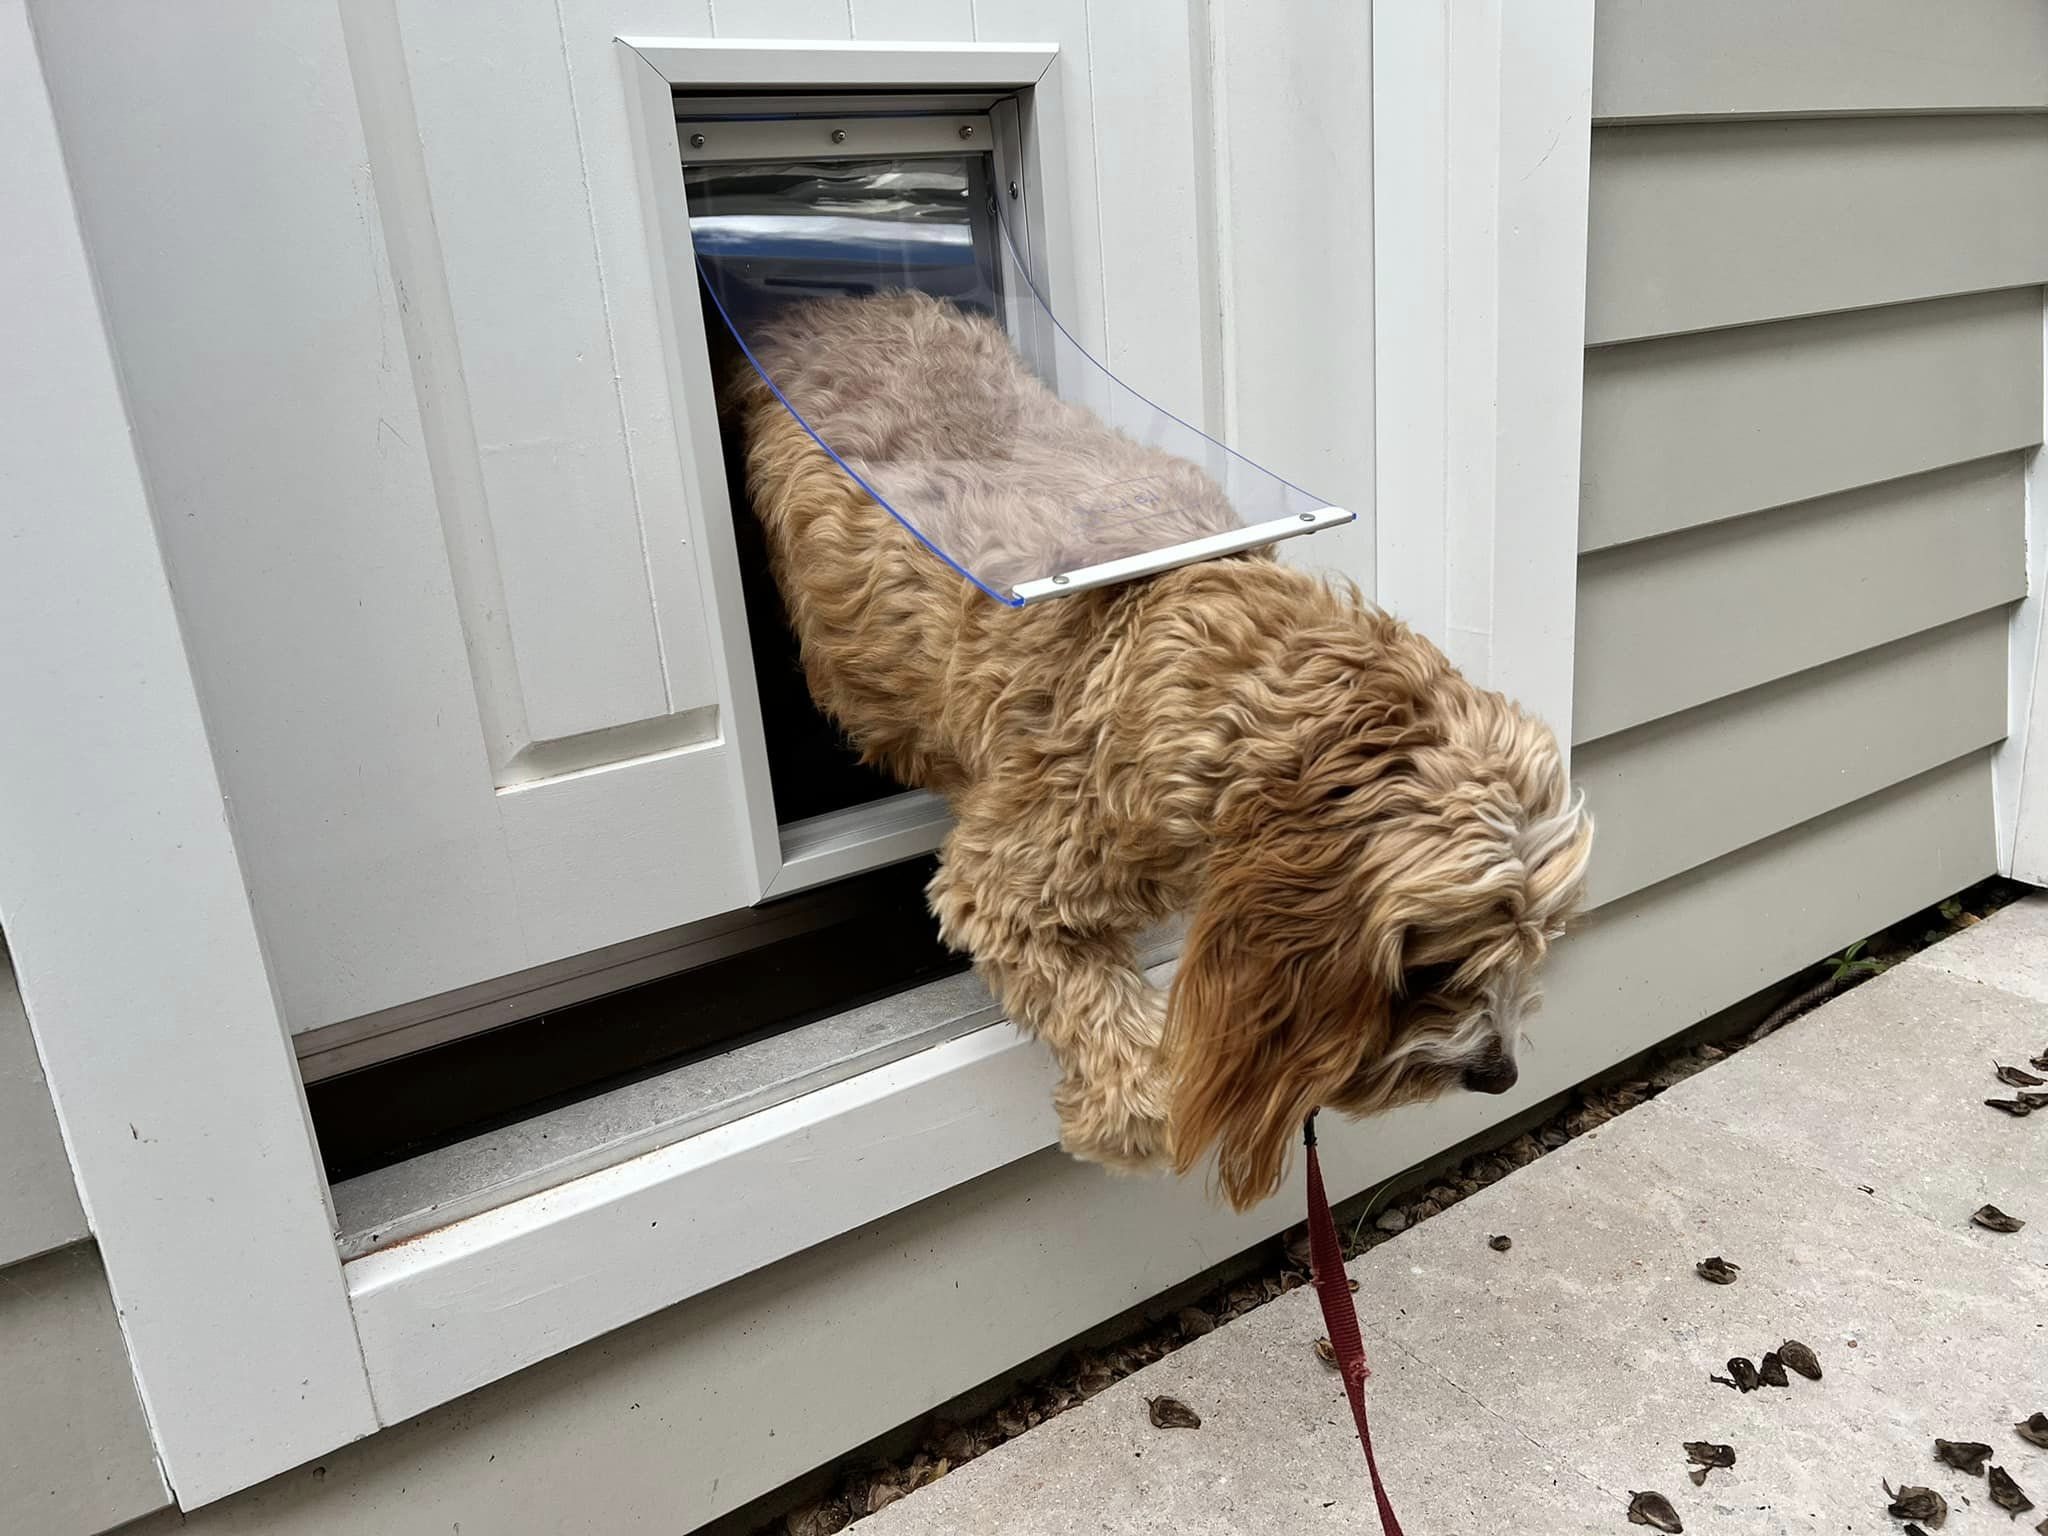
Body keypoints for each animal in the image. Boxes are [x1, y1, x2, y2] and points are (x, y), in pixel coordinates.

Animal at [729, 288, 1589, 1212]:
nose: (1500, 1076)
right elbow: (1087, 993)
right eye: (1436, 967)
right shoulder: (1015, 865)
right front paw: (1136, 1108)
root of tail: (826, 300)